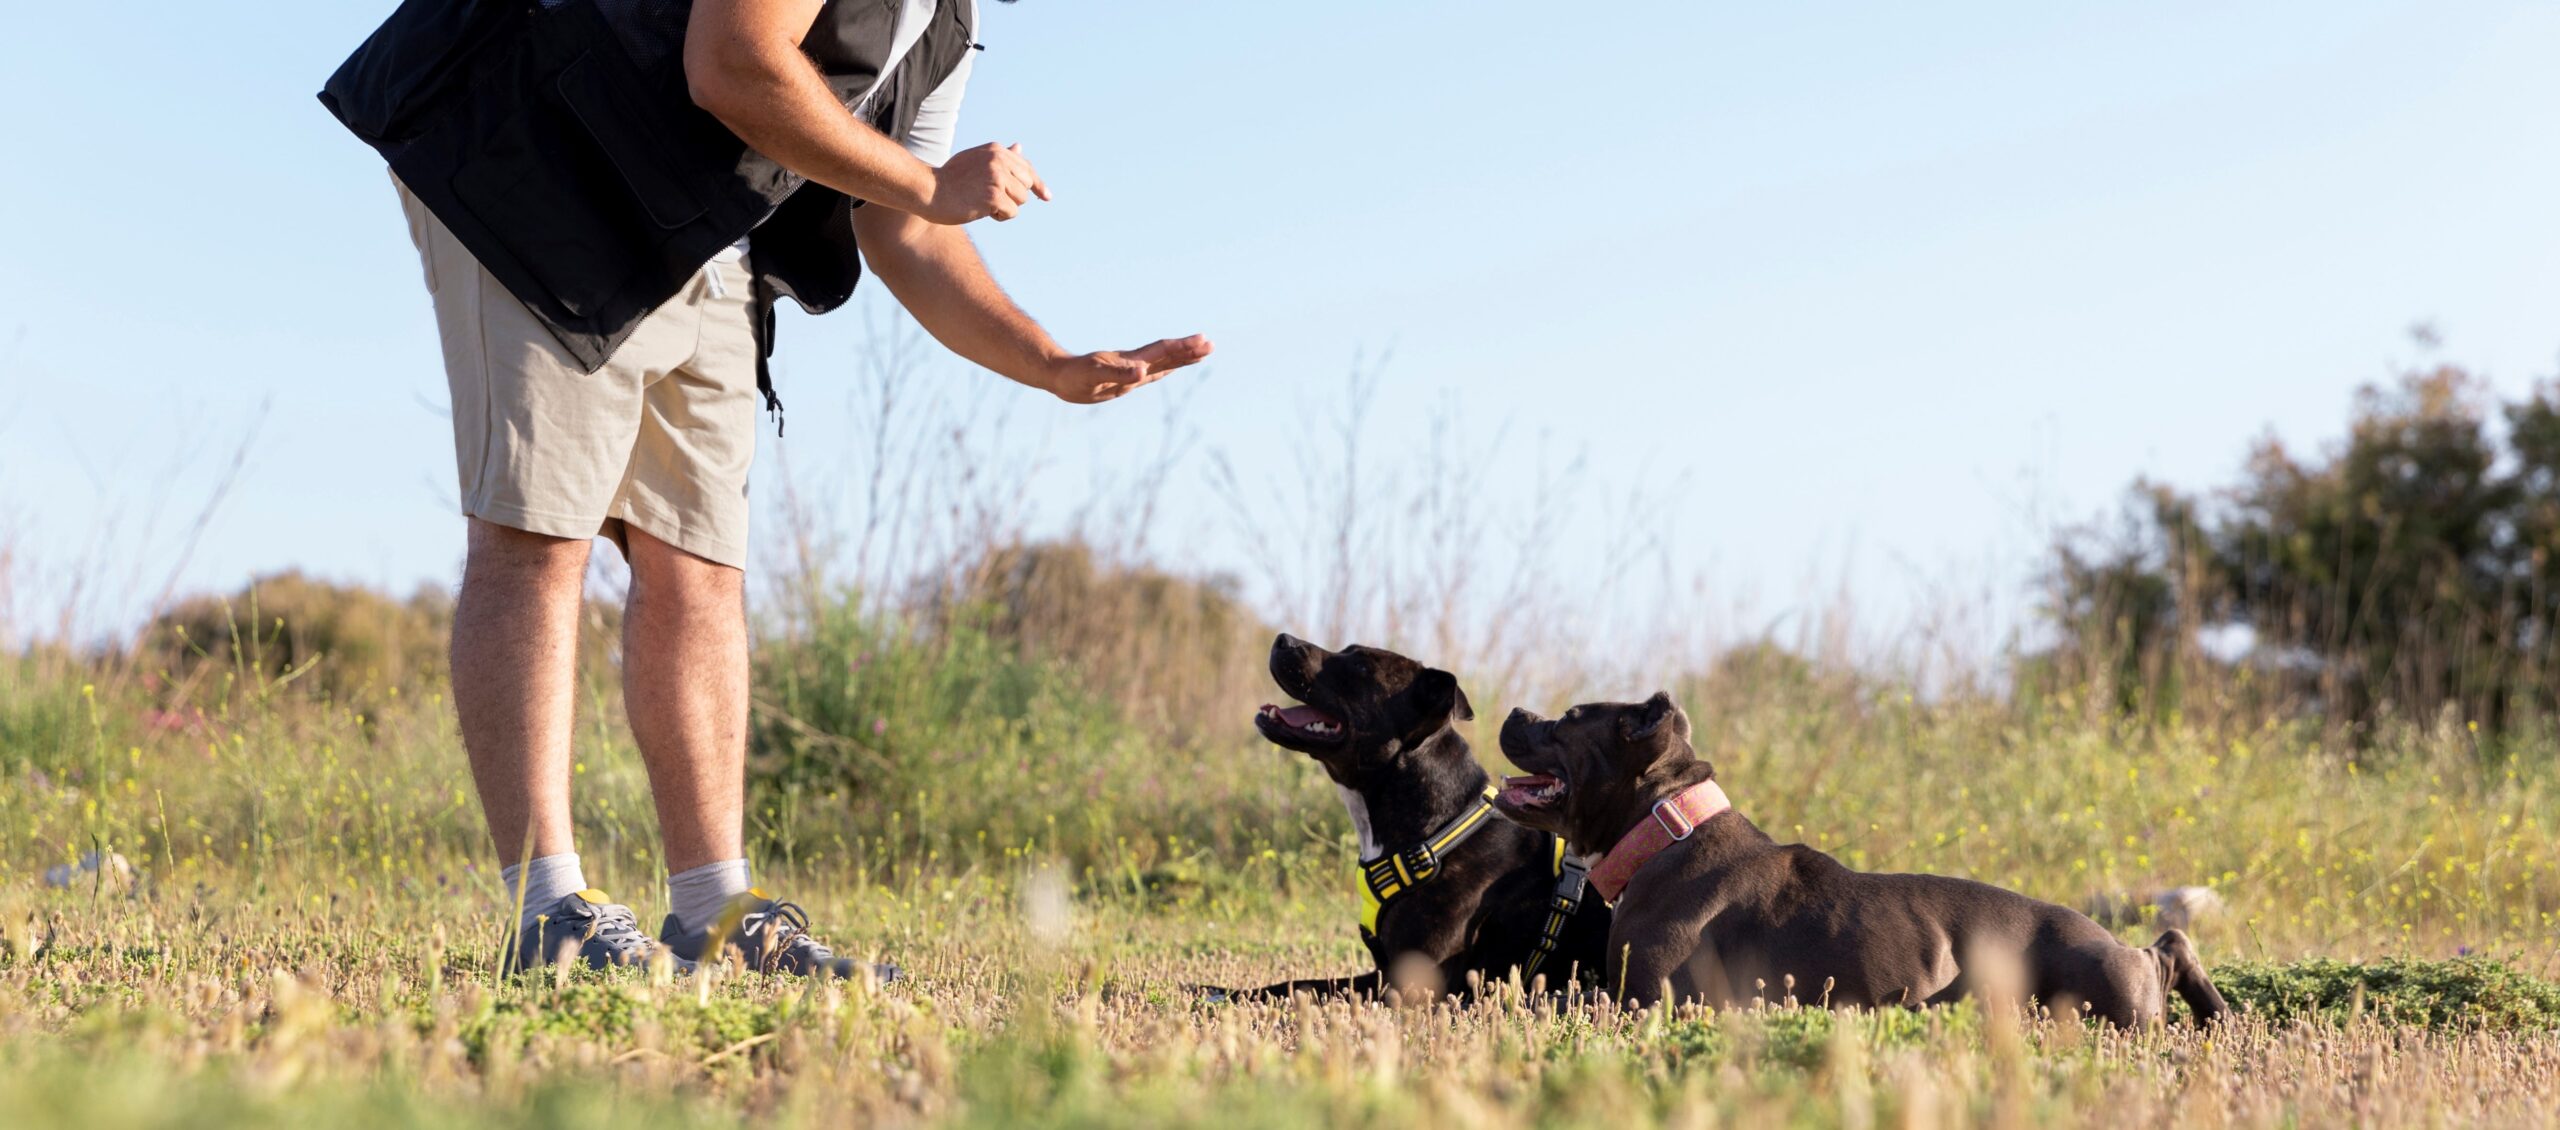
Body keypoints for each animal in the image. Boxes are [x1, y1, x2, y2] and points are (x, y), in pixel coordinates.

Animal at [1495, 686, 2232, 1019]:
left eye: (1568, 719)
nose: (1514, 710)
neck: (1665, 825)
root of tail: (2116, 944)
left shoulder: (1647, 1000)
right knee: (2174, 943)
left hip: (2093, 987)